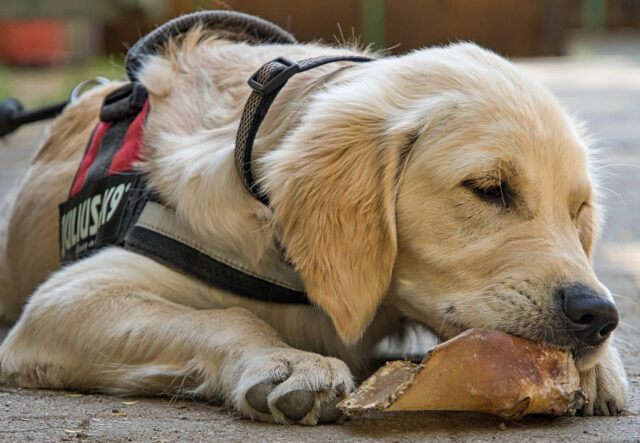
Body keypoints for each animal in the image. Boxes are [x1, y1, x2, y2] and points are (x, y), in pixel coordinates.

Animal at [0, 29, 628, 424]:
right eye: (489, 188)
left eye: (578, 212)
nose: (598, 316)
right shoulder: (66, 298)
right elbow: (229, 316)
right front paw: (287, 362)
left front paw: (600, 369)